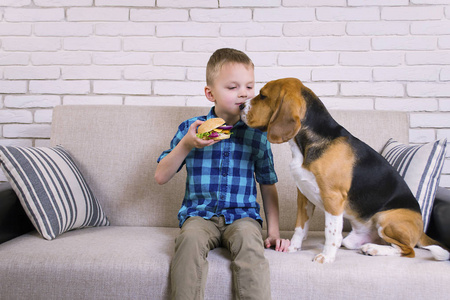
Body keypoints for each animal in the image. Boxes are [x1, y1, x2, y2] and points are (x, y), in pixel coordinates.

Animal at [241, 77, 448, 262]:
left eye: (262, 95)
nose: (241, 106)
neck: (305, 145)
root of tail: (421, 229)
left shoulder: (333, 198)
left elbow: (330, 232)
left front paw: (326, 257)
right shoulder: (303, 196)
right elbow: (300, 227)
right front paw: (292, 247)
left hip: (386, 218)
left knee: (408, 250)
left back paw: (373, 249)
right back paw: (369, 246)